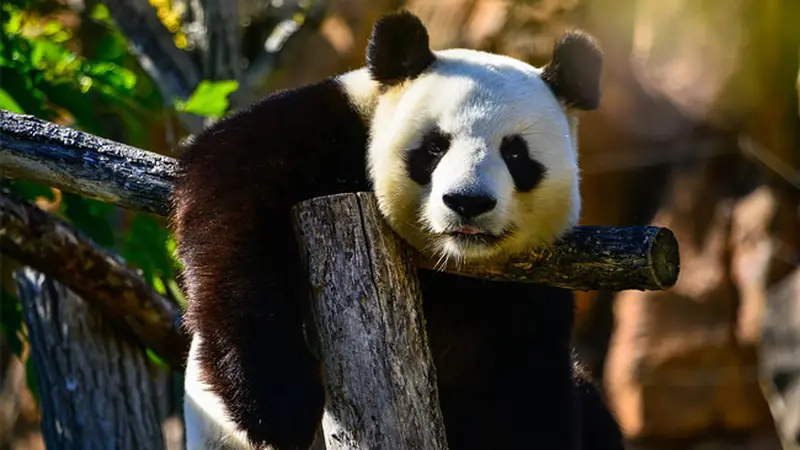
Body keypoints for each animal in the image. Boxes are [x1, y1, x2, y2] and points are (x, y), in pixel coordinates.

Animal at [172, 9, 624, 450]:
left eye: (515, 153)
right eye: (435, 147)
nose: (468, 202)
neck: (451, 265)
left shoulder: (528, 301)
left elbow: (524, 397)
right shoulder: (319, 131)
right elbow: (231, 212)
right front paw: (281, 407)